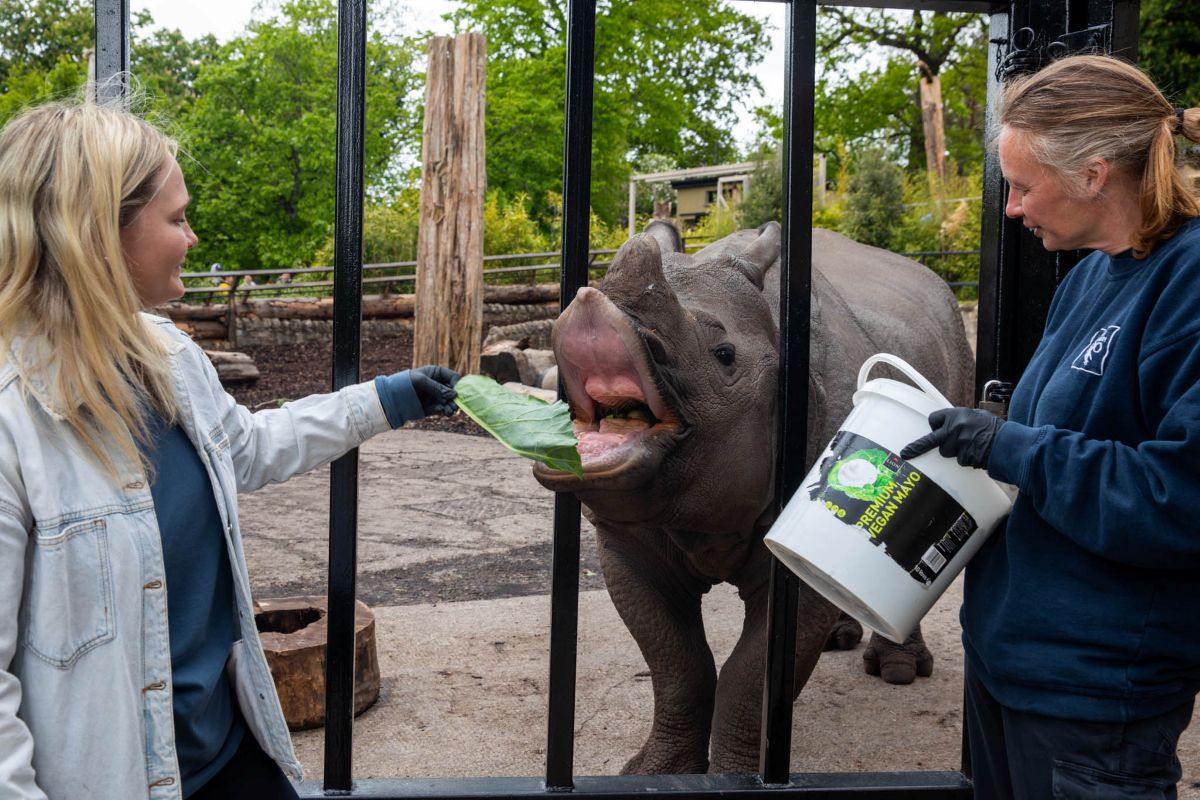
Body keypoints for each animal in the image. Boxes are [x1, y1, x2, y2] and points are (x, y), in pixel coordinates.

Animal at [532, 220, 974, 774]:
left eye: (724, 356)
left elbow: (749, 678)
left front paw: (733, 776)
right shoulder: (626, 541)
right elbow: (676, 664)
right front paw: (656, 771)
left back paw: (898, 671)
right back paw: (840, 638)